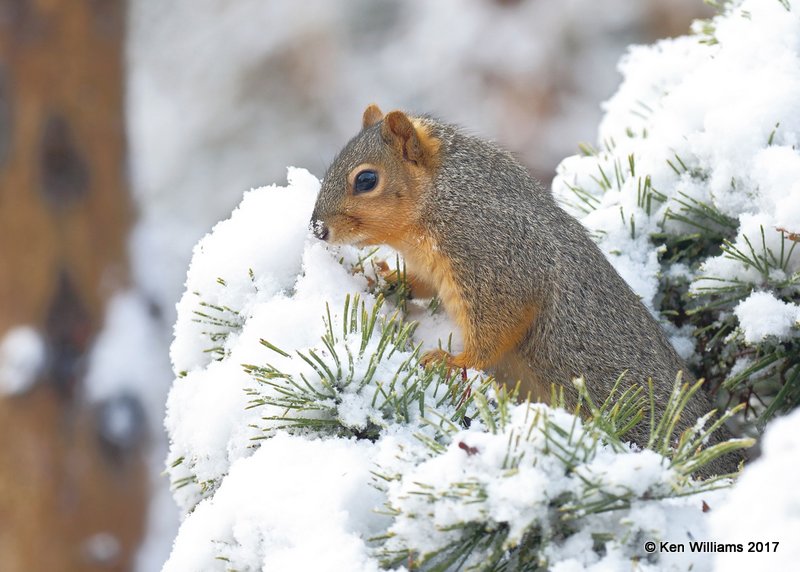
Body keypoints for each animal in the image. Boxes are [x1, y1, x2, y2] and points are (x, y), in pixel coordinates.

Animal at [310, 105, 740, 476]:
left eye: (366, 180)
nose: (317, 228)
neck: (442, 198)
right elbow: (420, 285)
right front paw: (381, 277)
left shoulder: (499, 260)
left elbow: (496, 330)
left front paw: (454, 360)